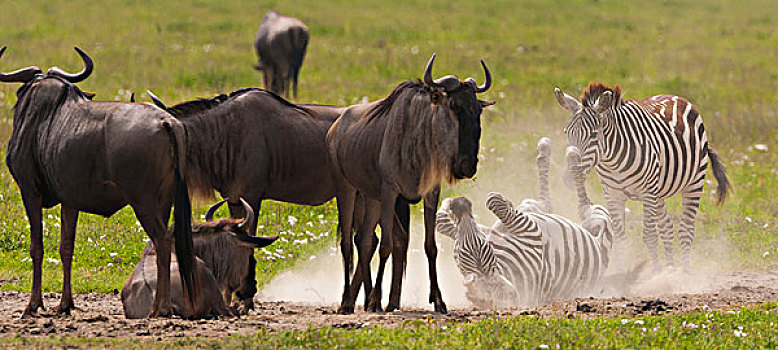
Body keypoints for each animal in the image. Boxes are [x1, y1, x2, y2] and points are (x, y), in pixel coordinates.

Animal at [434, 138, 608, 308]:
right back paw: (564, 155)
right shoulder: (531, 230)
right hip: (599, 217)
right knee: (572, 204)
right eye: (461, 253)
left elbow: (444, 221)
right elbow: (493, 201)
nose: (460, 203)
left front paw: (445, 206)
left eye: (482, 246)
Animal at [552, 83, 728, 270]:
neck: (613, 162)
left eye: (593, 135)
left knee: (686, 230)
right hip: (659, 192)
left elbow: (649, 235)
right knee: (666, 227)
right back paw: (671, 268)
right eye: (567, 133)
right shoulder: (613, 194)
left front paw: (656, 271)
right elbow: (620, 238)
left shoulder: (648, 193)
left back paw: (685, 272)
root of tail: (676, 97)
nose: (570, 177)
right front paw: (621, 272)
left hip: (693, 183)